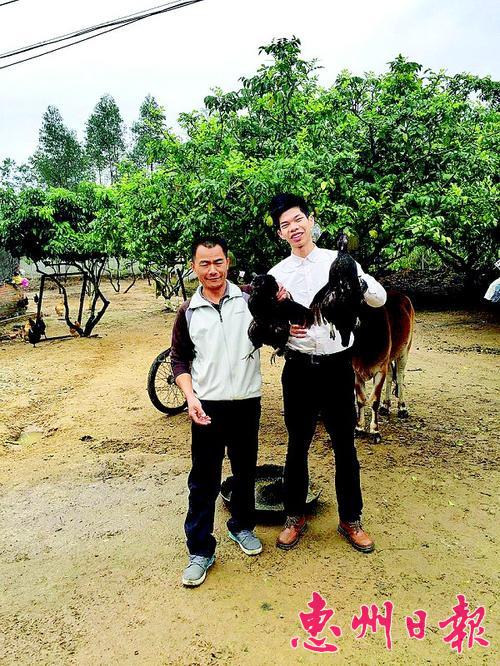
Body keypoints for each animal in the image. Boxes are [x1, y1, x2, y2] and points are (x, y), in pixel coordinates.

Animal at [354, 290, 416, 440]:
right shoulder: (356, 372)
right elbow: (360, 400)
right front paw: (359, 428)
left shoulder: (379, 370)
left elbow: (374, 400)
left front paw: (374, 431)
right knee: (390, 376)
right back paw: (386, 406)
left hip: (405, 351)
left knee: (399, 376)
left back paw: (402, 408)